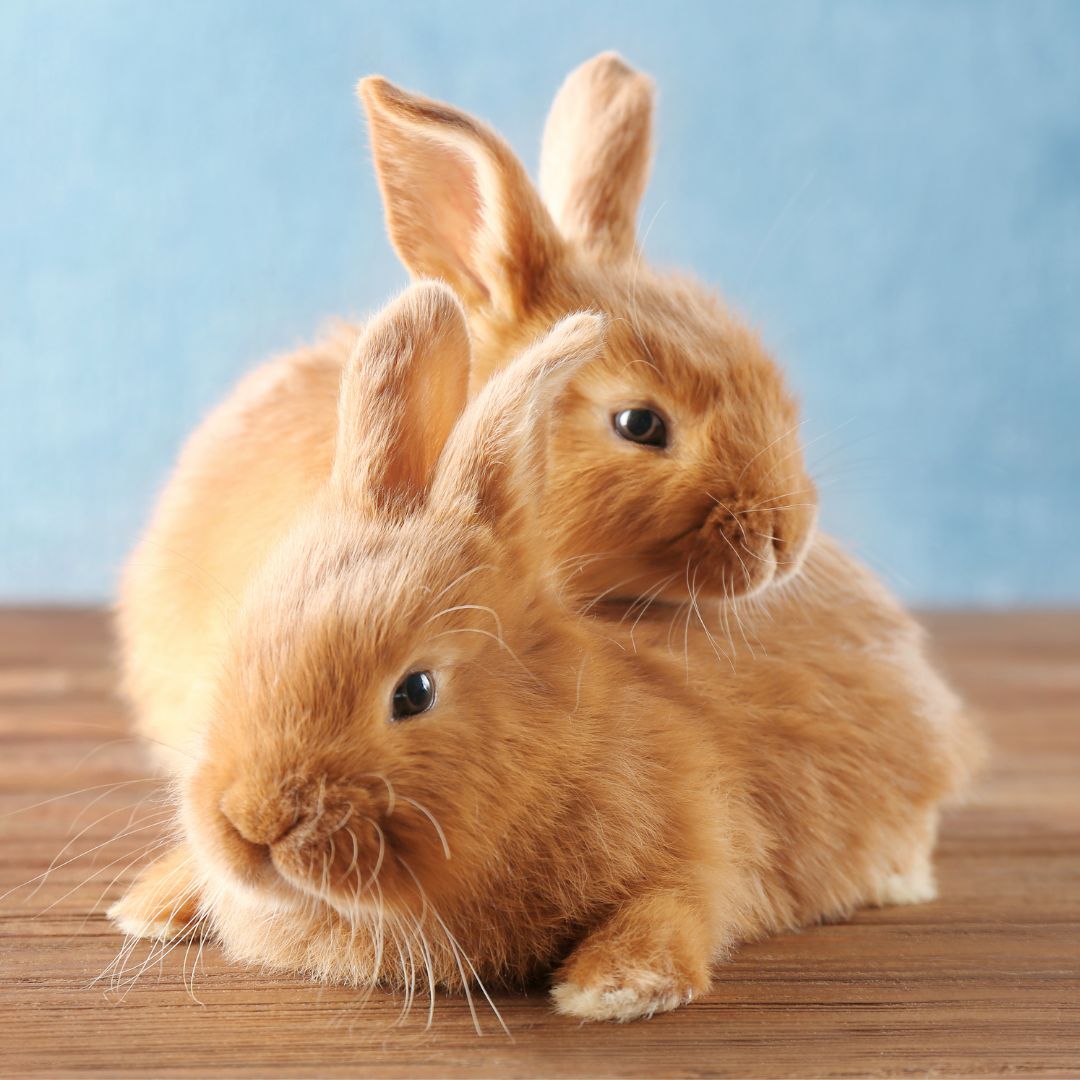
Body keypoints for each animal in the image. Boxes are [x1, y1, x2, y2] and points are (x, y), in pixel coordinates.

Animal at [110, 282, 976, 1023]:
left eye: (414, 691)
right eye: (240, 649)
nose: (254, 823)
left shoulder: (704, 844)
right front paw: (152, 906)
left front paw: (615, 989)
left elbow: (680, 904)